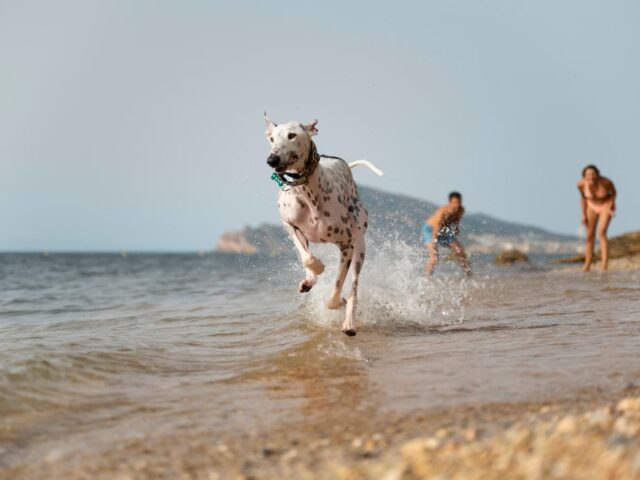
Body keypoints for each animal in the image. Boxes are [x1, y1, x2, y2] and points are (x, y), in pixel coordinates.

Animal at [262, 114, 382, 336]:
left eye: (292, 135)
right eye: (272, 139)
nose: (271, 160)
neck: (306, 191)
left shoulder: (347, 245)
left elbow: (336, 290)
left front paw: (337, 301)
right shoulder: (289, 225)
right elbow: (307, 257)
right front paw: (317, 268)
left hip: (360, 245)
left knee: (353, 288)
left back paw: (349, 321)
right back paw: (309, 280)